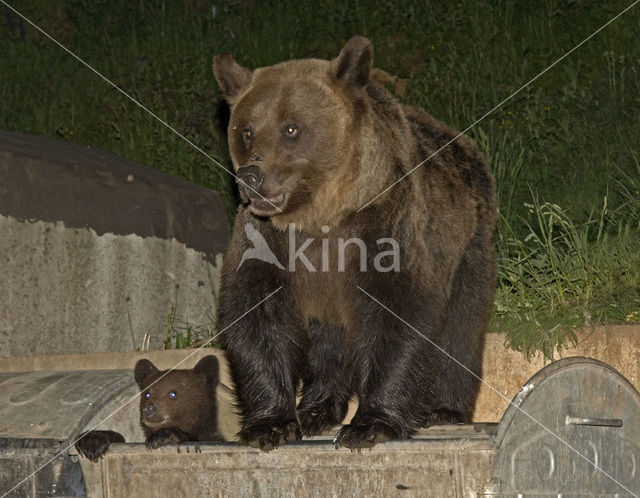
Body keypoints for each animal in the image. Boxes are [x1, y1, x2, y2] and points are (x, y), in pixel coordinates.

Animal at [212, 36, 498, 452]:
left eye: (291, 128)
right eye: (246, 129)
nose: (251, 176)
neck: (321, 217)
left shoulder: (384, 226)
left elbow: (399, 314)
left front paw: (370, 424)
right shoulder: (267, 242)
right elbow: (257, 317)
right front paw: (269, 424)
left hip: (469, 244)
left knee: (462, 323)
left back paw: (444, 409)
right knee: (327, 339)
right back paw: (316, 408)